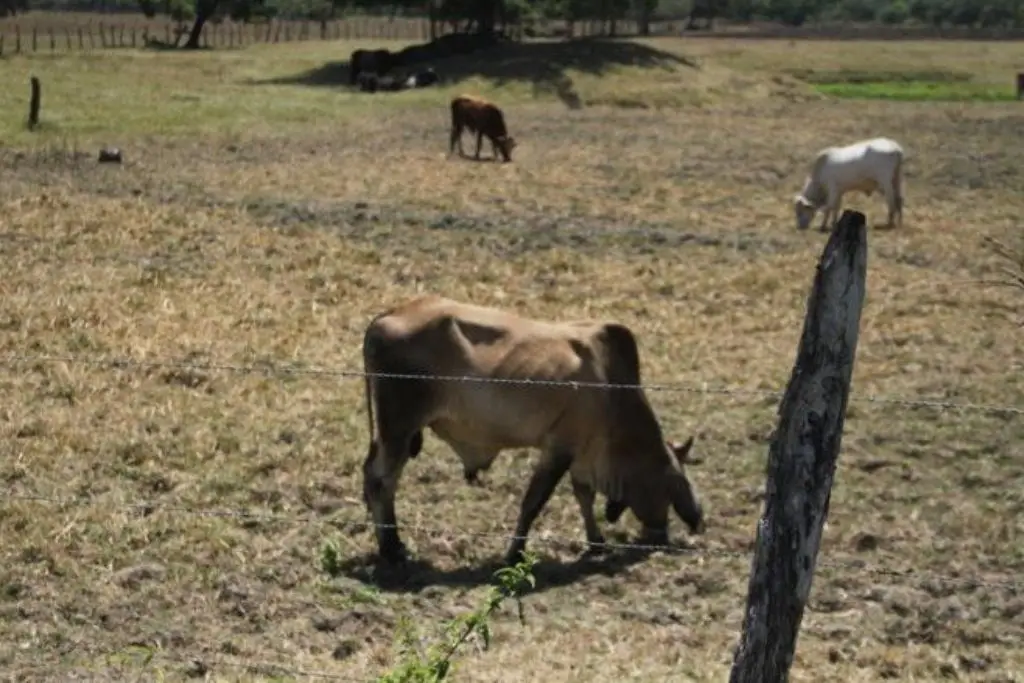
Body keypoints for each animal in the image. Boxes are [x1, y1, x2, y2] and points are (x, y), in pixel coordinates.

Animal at [360, 294, 704, 565]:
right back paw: (393, 548)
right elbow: (533, 503)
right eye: (674, 482)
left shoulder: (582, 452)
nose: (695, 520)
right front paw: (515, 553)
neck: (611, 389)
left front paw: (596, 541)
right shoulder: (558, 449)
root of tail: (387, 315)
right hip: (399, 427)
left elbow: (584, 496)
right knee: (381, 481)